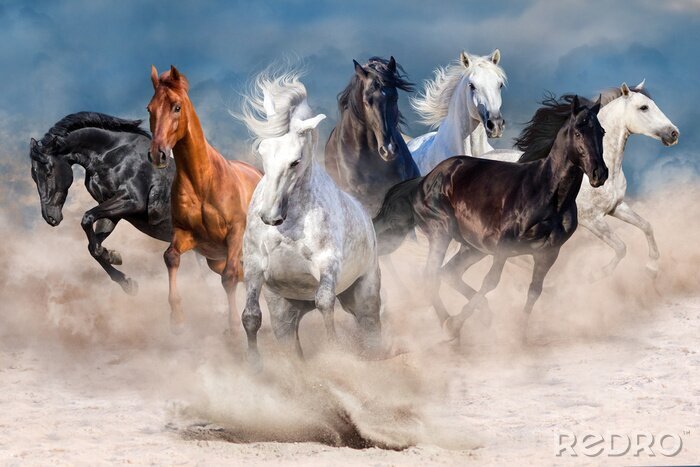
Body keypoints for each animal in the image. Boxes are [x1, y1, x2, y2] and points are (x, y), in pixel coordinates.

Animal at [29, 112, 173, 295]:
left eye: (48, 172)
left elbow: (87, 218)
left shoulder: (133, 200)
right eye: (34, 176)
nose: (50, 217)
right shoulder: (112, 209)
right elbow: (92, 246)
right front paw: (123, 276)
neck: (113, 155)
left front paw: (111, 255)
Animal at [147, 65, 262, 334]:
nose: (157, 154)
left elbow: (230, 277)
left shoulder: (235, 234)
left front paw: (233, 328)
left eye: (177, 107)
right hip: (214, 260)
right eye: (150, 109)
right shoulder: (188, 234)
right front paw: (177, 318)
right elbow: (171, 257)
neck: (202, 182)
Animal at [239, 67, 381, 366]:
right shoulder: (254, 266)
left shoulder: (327, 264)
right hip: (285, 312)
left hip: (364, 294)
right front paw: (254, 365)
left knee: (371, 330)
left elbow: (325, 304)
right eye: (262, 152)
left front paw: (334, 354)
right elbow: (250, 317)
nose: (270, 217)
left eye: (295, 161)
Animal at [373, 96, 607, 343]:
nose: (599, 173)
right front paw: (456, 324)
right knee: (430, 275)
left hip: (473, 247)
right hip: (441, 232)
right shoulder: (504, 246)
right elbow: (491, 281)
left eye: (601, 132)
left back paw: (484, 314)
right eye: (579, 133)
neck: (548, 195)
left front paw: (520, 334)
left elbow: (534, 291)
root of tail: (424, 180)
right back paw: (448, 324)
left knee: (449, 273)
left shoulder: (548, 253)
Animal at [481, 81, 679, 278]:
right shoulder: (592, 220)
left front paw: (652, 267)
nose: (673, 133)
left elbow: (647, 226)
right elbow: (621, 247)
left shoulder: (616, 207)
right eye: (643, 107)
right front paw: (598, 275)